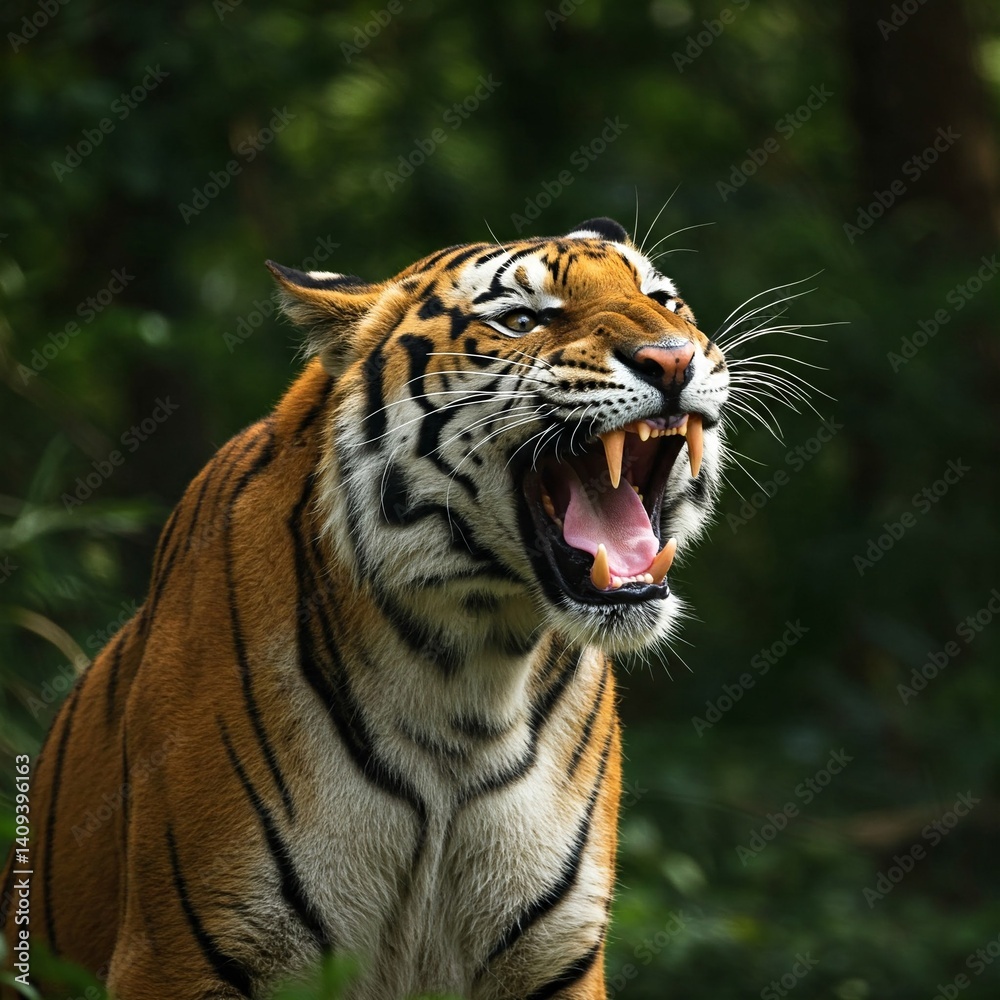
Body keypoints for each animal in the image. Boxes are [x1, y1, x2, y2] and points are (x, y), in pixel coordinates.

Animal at [2, 217, 730, 999]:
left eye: (664, 301)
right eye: (521, 319)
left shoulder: (553, 957)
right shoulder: (183, 951)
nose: (673, 359)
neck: (468, 674)